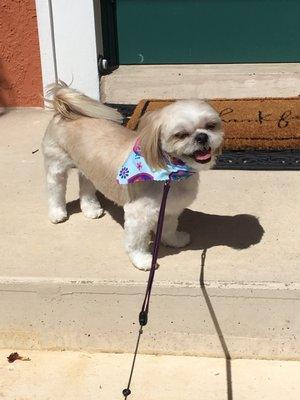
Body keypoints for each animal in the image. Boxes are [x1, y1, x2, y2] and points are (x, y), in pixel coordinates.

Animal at [43, 81, 224, 270]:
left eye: (211, 125)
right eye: (181, 135)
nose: (202, 137)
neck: (171, 174)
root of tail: (64, 110)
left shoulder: (170, 208)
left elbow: (169, 227)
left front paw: (174, 240)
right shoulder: (138, 214)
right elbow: (136, 242)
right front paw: (143, 260)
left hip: (88, 168)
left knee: (86, 185)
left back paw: (90, 208)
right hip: (56, 165)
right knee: (56, 189)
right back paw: (57, 212)